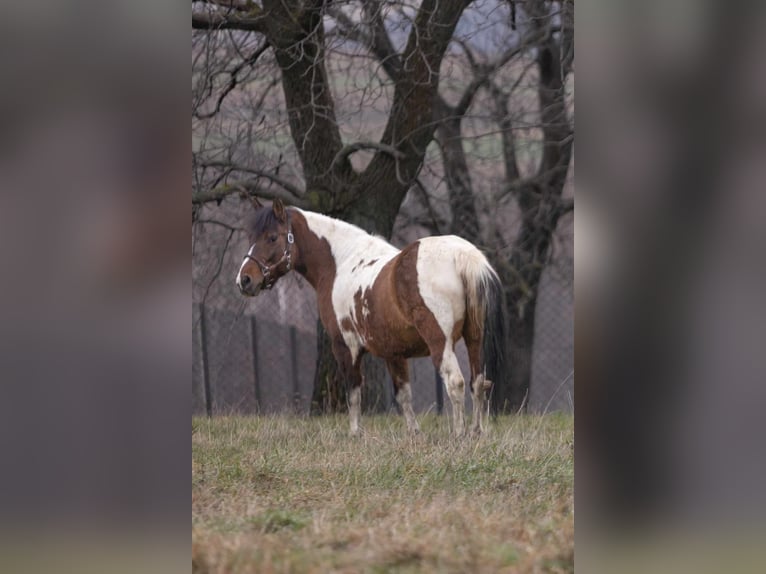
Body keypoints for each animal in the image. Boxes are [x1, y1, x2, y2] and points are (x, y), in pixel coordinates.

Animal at [237, 198, 508, 436]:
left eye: (272, 237)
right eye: (251, 238)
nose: (245, 280)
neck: (339, 264)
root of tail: (462, 255)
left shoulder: (346, 347)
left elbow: (354, 392)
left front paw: (355, 433)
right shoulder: (393, 352)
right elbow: (403, 394)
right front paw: (414, 433)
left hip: (440, 342)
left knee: (455, 382)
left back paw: (459, 434)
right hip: (474, 338)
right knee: (477, 382)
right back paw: (476, 432)